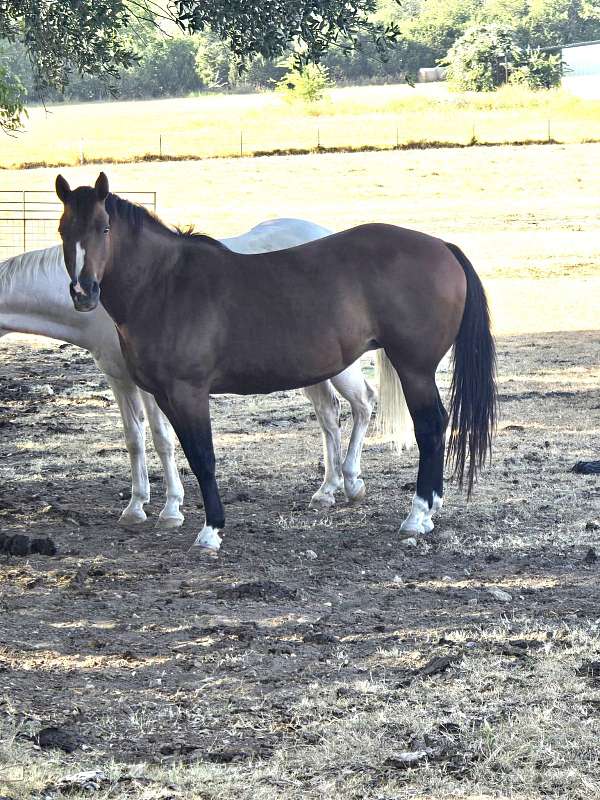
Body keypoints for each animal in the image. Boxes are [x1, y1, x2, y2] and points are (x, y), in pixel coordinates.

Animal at [0, 220, 377, 527]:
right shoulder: (119, 380)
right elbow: (134, 440)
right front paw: (136, 507)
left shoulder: (156, 386)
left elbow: (162, 440)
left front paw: (171, 509)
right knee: (328, 413)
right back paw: (327, 490)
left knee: (363, 402)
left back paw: (352, 482)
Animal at [55, 172, 497, 555]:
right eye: (64, 230)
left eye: (104, 228)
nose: (83, 292)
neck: (165, 284)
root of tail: (442, 247)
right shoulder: (163, 395)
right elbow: (181, 451)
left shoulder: (188, 392)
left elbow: (204, 458)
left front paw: (211, 531)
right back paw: (428, 510)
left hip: (414, 369)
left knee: (430, 427)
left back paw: (417, 515)